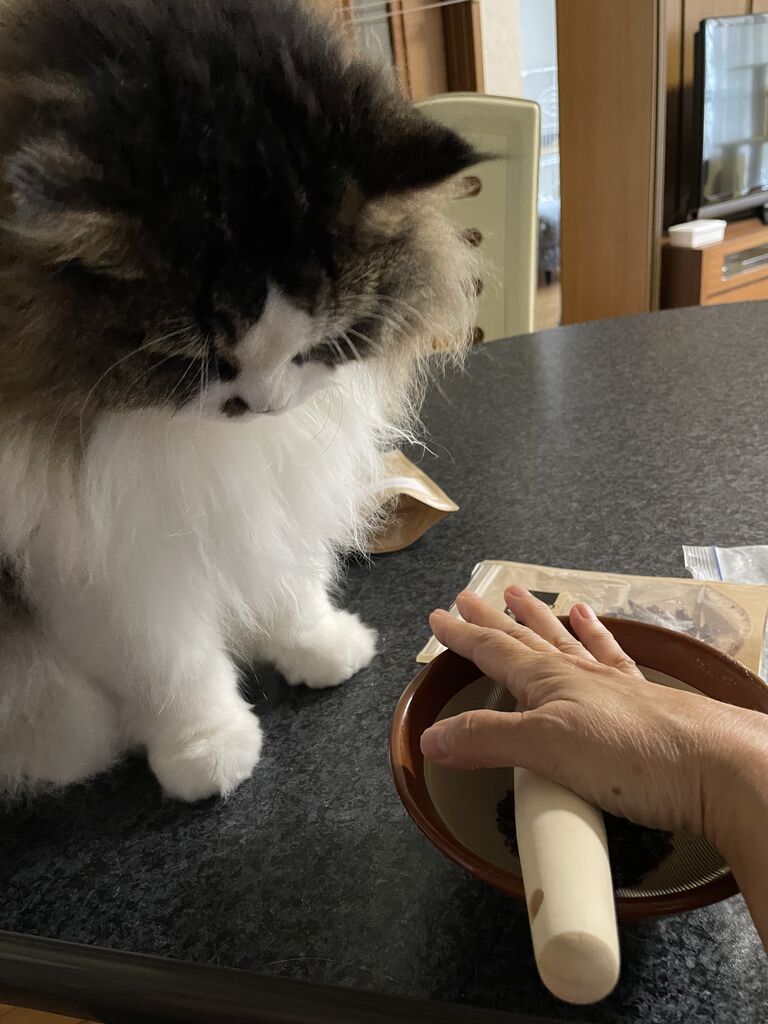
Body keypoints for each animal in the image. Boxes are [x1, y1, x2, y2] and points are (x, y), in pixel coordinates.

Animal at [0, 0, 478, 801]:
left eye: (322, 342)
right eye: (199, 361)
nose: (266, 402)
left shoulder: (265, 489)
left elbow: (286, 582)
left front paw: (319, 648)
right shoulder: (97, 558)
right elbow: (170, 668)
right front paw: (206, 750)